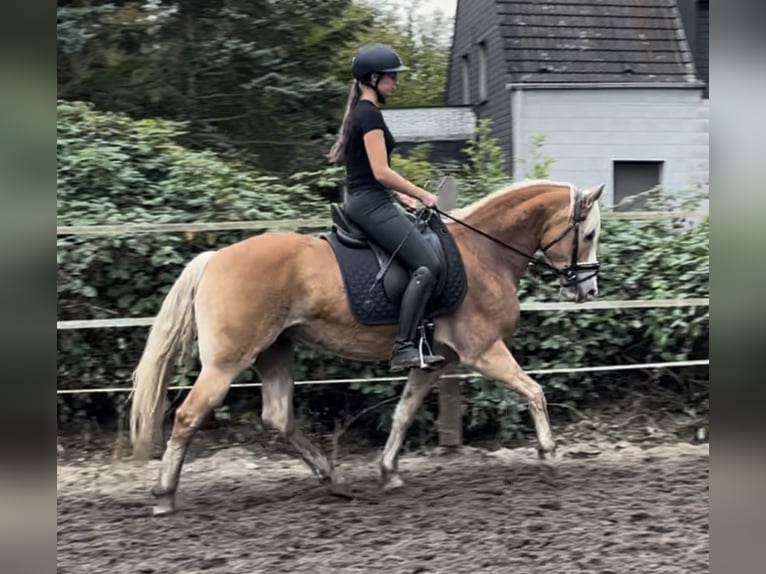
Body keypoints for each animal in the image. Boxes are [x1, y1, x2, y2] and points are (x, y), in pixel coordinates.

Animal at [129, 179, 608, 516]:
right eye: (588, 234)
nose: (587, 290)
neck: (483, 253)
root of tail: (214, 258)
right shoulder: (483, 351)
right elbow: (534, 391)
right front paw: (548, 455)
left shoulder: (434, 361)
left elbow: (403, 413)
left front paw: (388, 472)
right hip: (227, 362)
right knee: (188, 416)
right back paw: (164, 495)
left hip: (274, 351)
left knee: (279, 416)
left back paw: (332, 479)